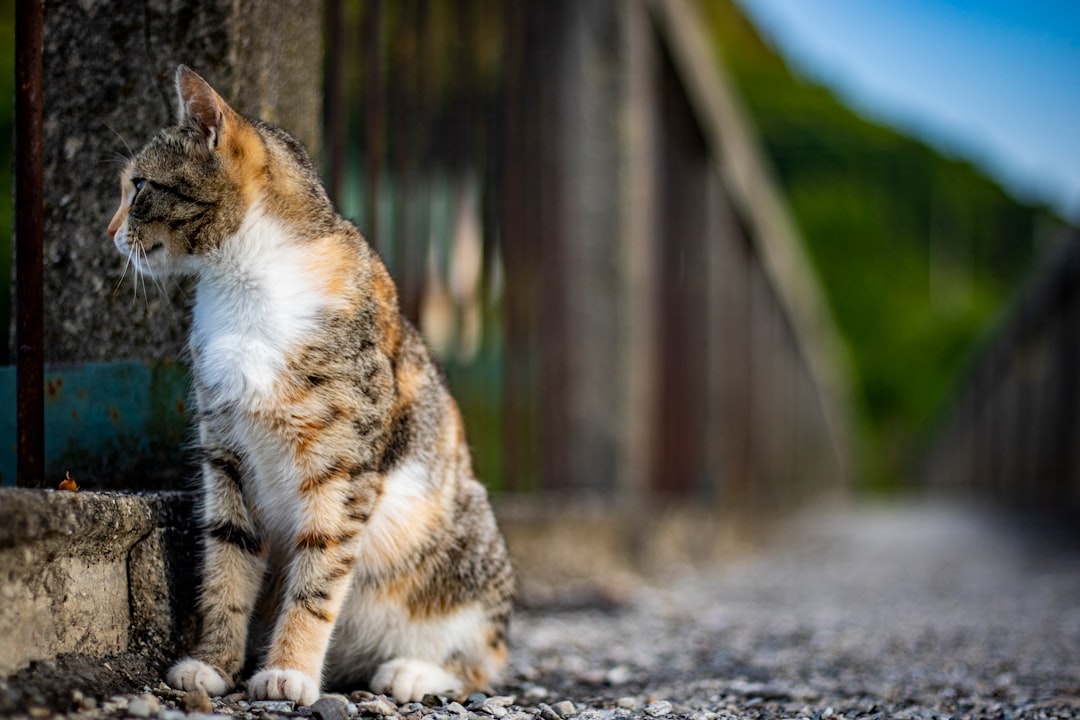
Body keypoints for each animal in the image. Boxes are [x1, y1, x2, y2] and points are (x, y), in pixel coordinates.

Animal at [107, 64, 511, 708]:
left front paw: (289, 672)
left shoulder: (342, 467)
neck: (245, 285)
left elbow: (318, 574)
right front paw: (214, 664)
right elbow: (226, 563)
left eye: (140, 185)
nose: (111, 232)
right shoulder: (226, 456)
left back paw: (411, 673)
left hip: (463, 551)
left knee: (486, 660)